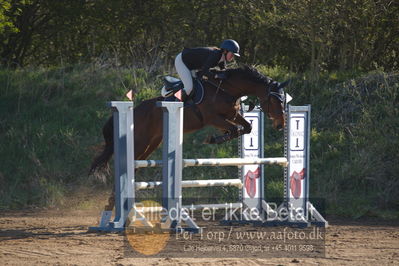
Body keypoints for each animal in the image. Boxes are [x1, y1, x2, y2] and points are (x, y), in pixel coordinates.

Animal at [89, 65, 288, 176]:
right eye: (274, 100)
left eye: (284, 100)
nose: (281, 125)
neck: (226, 88)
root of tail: (134, 110)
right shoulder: (212, 118)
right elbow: (233, 129)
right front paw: (214, 139)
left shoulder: (231, 115)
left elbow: (246, 127)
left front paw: (220, 137)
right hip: (140, 141)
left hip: (152, 143)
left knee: (137, 163)